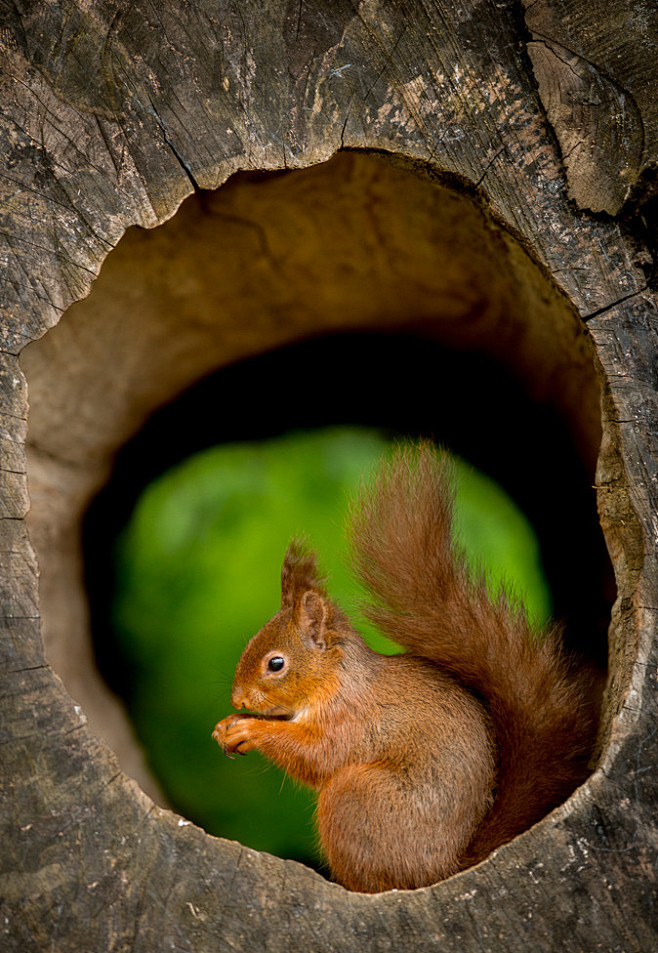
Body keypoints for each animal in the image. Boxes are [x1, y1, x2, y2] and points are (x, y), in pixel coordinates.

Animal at [213, 444, 596, 892]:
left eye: (276, 664)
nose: (238, 698)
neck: (335, 680)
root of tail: (445, 868)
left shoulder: (353, 720)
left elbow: (317, 755)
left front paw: (248, 729)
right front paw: (226, 726)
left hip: (354, 797)